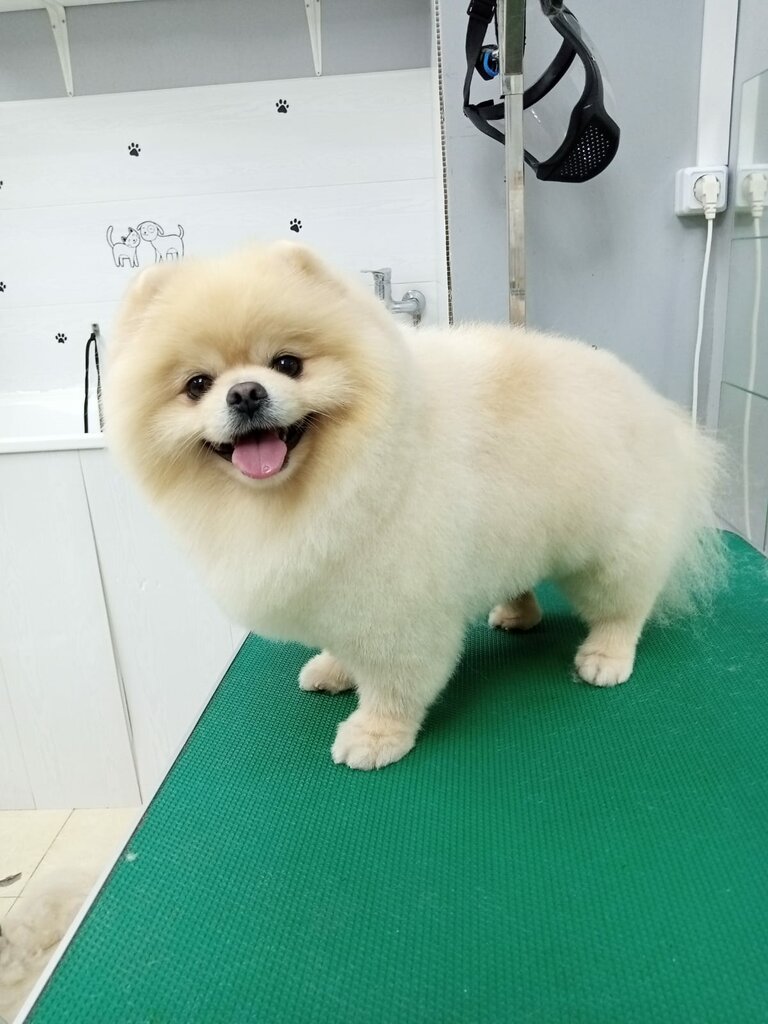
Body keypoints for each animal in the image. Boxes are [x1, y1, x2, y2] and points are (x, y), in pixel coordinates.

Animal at [105, 243, 722, 770]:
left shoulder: (397, 606)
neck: (323, 485)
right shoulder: (334, 583)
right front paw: (334, 668)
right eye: (197, 384)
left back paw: (605, 656)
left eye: (287, 364)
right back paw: (516, 613)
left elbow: (394, 681)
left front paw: (376, 734)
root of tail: (652, 404)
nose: (245, 393)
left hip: (612, 551)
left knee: (624, 606)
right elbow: (343, 643)